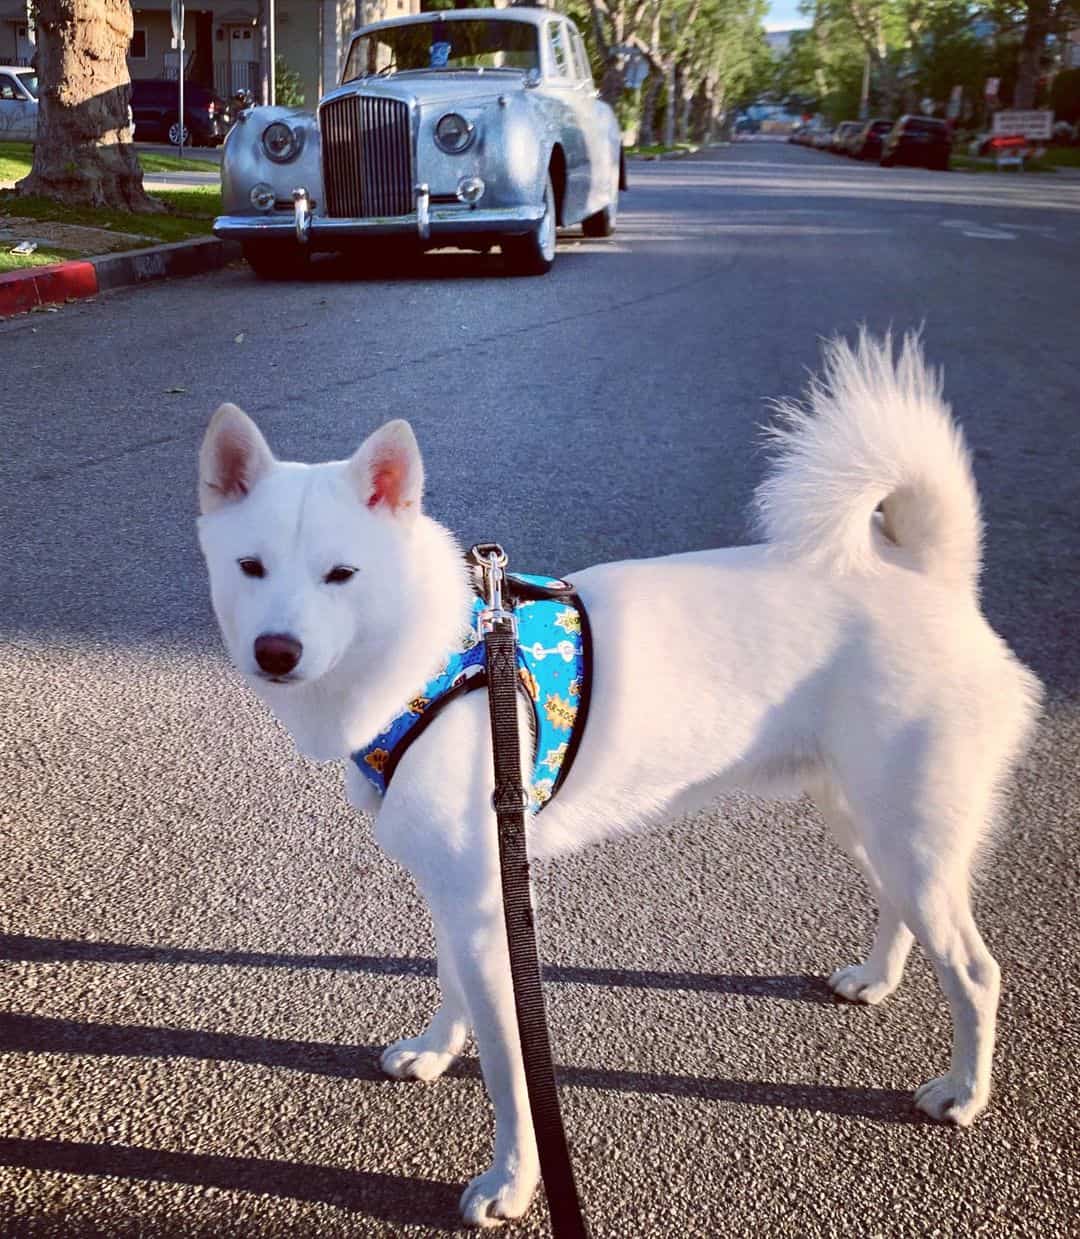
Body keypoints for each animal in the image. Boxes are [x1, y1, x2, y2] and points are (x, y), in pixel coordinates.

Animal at [198, 332, 1040, 1229]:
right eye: (250, 566)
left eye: (342, 574)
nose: (276, 650)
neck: (441, 653)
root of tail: (930, 577)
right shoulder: (460, 892)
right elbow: (451, 987)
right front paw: (434, 1049)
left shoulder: (491, 904)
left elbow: (511, 1072)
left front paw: (512, 1181)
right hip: (866, 818)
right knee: (899, 906)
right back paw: (876, 979)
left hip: (910, 828)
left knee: (976, 970)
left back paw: (963, 1091)